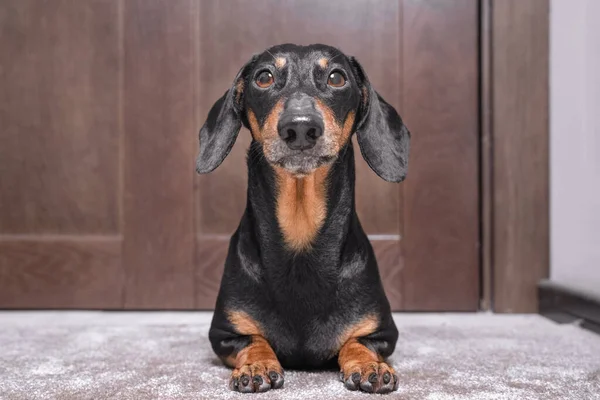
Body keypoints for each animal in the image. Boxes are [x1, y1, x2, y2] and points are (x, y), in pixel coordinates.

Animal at [197, 43, 412, 394]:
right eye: (264, 77)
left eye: (337, 77)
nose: (299, 127)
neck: (301, 235)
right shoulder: (226, 333)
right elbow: (253, 340)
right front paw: (257, 364)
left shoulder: (380, 333)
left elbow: (357, 342)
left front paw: (370, 366)